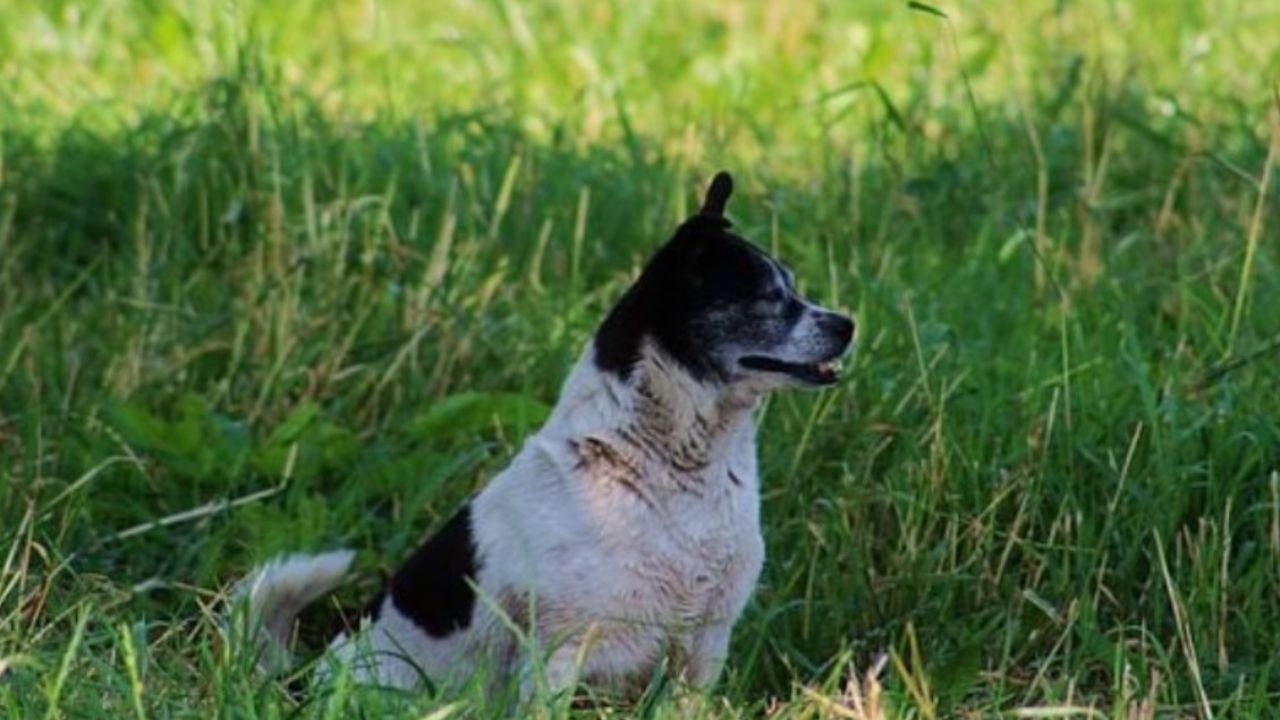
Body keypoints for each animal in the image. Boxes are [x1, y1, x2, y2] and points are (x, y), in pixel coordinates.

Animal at [240, 172, 860, 696]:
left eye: (793, 288)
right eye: (767, 299)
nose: (848, 323)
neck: (660, 468)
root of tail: (303, 681)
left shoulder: (702, 649)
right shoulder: (560, 657)